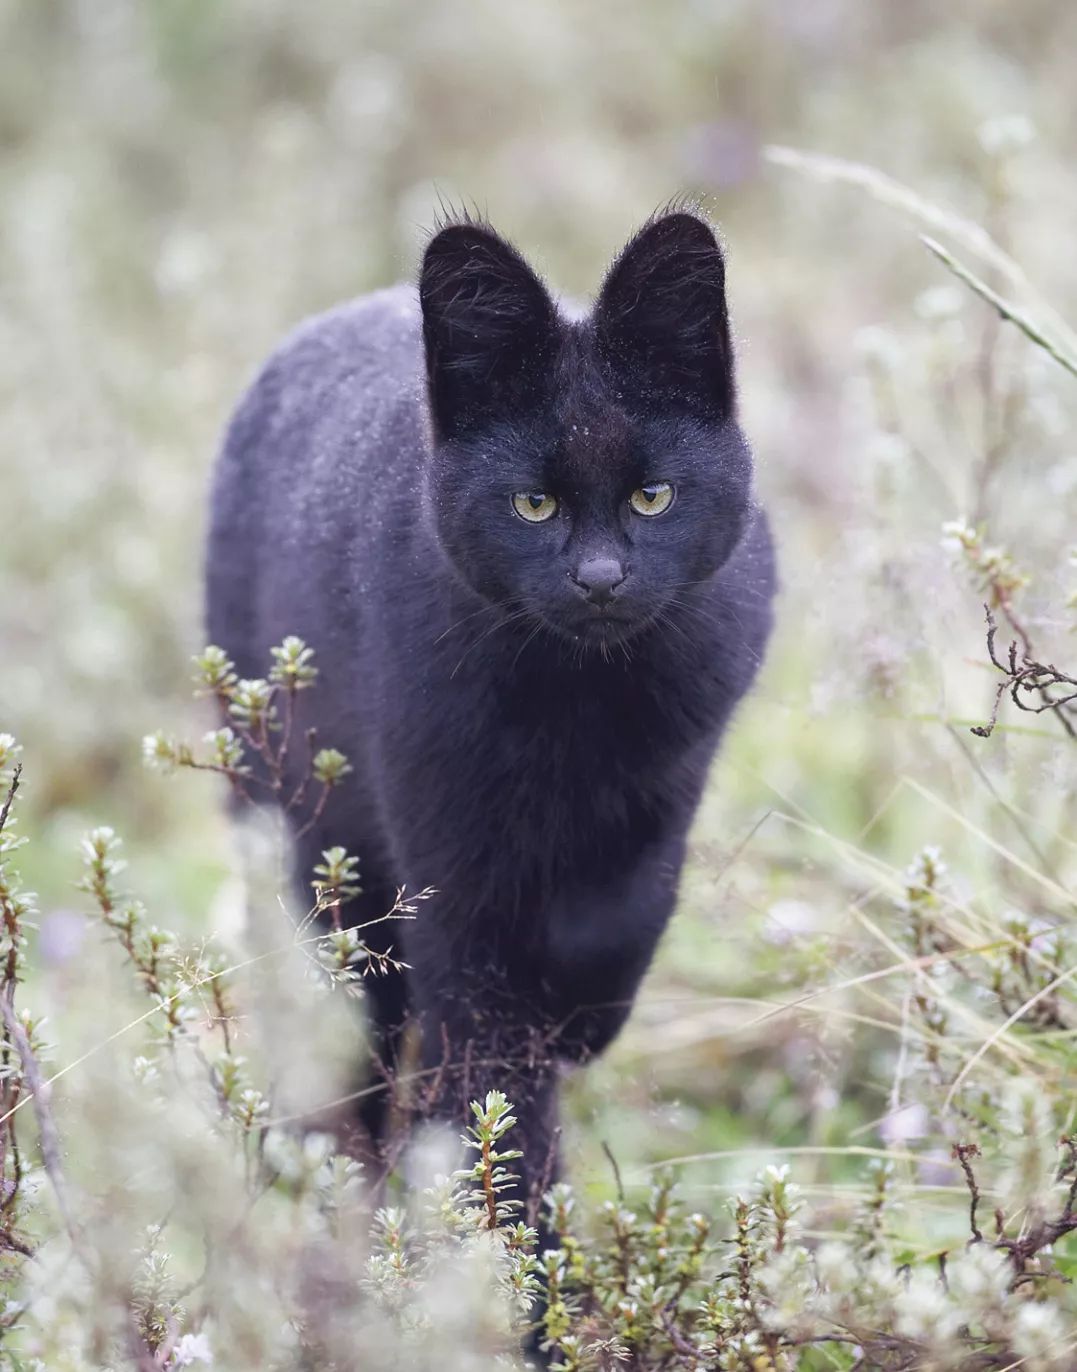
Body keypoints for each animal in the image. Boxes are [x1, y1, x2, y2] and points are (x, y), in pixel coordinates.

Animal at [205, 211, 773, 1223]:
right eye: (532, 503)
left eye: (652, 495)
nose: (599, 579)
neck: (580, 703)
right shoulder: (451, 849)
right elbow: (485, 1047)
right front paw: (499, 1225)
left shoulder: (669, 778)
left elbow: (626, 914)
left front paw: (584, 1019)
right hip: (310, 833)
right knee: (355, 1012)